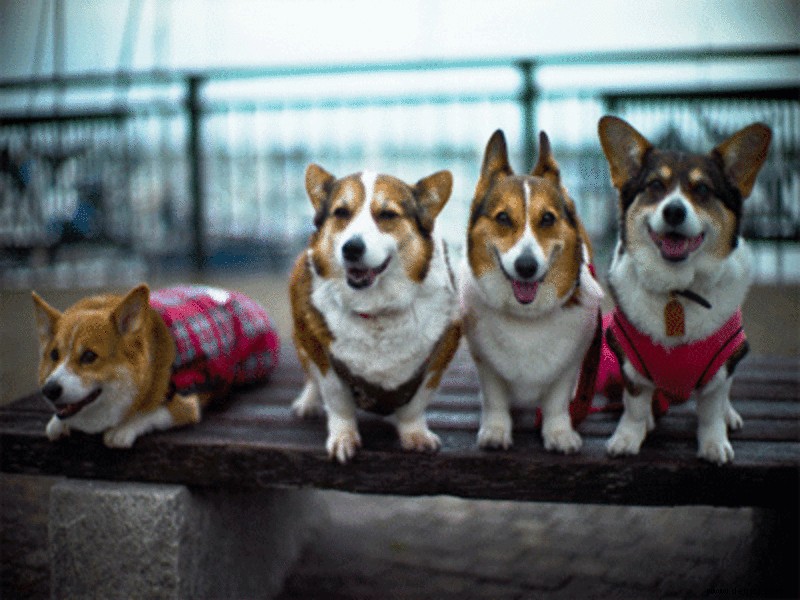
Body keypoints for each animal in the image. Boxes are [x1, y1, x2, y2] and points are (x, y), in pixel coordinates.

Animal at [31, 284, 280, 446]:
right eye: (54, 355)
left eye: (89, 356)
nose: (49, 390)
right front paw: (57, 423)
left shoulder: (185, 403)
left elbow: (151, 413)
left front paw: (123, 429)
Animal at [290, 164, 460, 464]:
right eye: (341, 213)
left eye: (387, 215)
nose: (351, 248)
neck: (376, 310)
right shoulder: (323, 357)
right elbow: (337, 399)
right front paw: (343, 438)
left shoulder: (438, 358)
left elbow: (416, 405)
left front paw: (415, 435)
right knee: (310, 376)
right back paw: (307, 403)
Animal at [460, 129, 604, 452]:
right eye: (502, 218)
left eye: (547, 218)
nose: (526, 266)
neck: (526, 316)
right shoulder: (486, 365)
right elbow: (495, 400)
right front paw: (495, 431)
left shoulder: (570, 363)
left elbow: (556, 403)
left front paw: (559, 433)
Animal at [596, 116, 772, 464]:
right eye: (655, 186)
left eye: (702, 189)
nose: (674, 211)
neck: (677, 289)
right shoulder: (629, 362)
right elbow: (634, 406)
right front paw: (627, 438)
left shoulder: (722, 367)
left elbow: (712, 410)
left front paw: (714, 443)